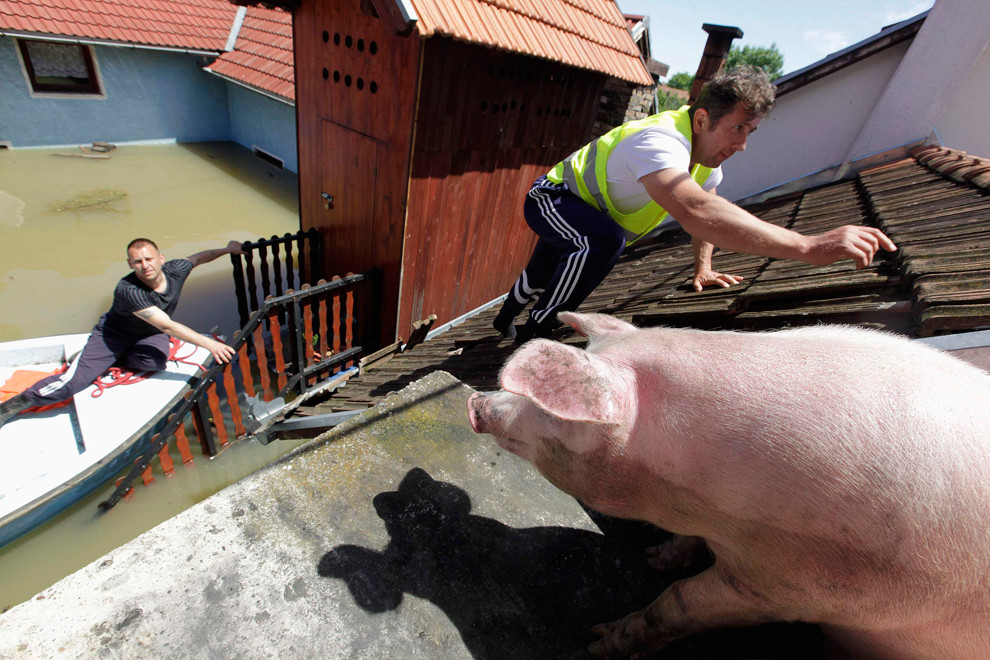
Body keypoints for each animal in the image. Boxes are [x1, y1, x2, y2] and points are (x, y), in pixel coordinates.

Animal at [466, 312, 990, 656]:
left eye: (544, 407)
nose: (475, 403)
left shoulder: (798, 588)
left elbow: (676, 603)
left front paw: (600, 642)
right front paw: (655, 558)